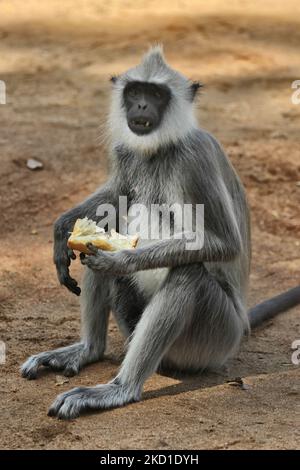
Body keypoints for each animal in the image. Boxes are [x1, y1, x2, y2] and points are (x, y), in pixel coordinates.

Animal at [21, 46, 300, 418]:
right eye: (135, 92)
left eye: (155, 95)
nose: (140, 106)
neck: (159, 148)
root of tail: (240, 327)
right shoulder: (125, 151)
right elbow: (115, 197)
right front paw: (62, 228)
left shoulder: (194, 156)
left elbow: (224, 244)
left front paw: (120, 260)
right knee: (112, 221)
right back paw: (89, 349)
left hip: (214, 337)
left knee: (188, 273)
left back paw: (121, 389)